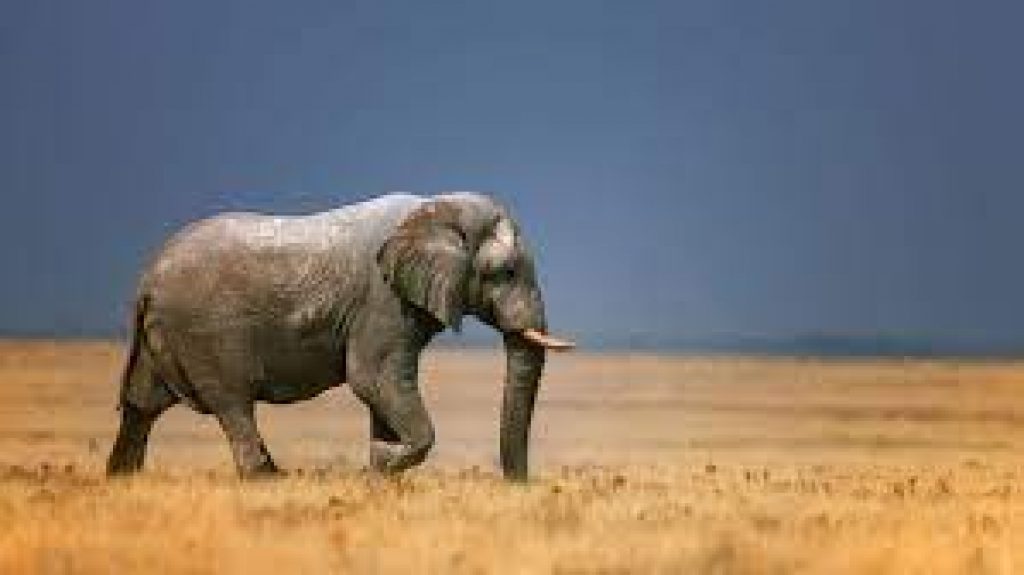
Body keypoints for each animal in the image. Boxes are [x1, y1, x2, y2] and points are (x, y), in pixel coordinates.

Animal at [106, 192, 573, 481]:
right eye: (505, 272)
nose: (518, 486)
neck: (436, 209)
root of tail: (147, 278)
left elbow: (381, 389)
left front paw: (379, 471)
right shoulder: (382, 301)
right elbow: (372, 378)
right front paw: (380, 468)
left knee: (140, 406)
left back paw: (121, 481)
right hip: (206, 335)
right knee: (233, 405)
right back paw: (268, 479)